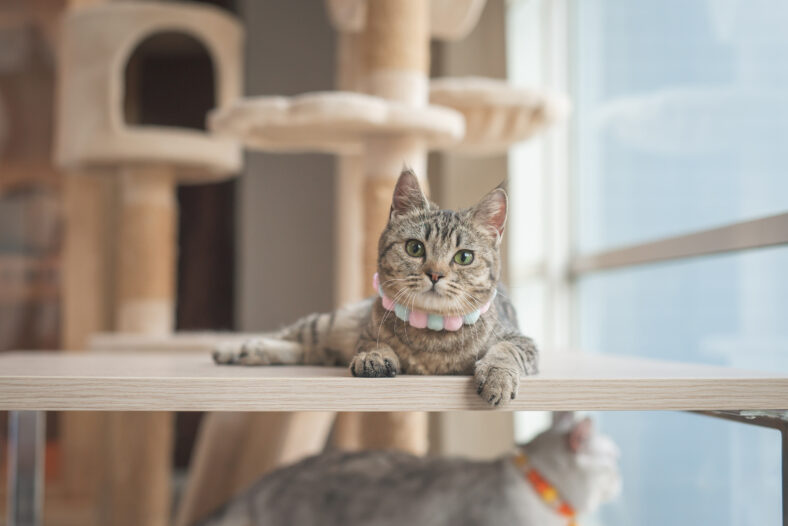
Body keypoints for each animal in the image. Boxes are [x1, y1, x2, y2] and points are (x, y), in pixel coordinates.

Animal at [212, 170, 540, 408]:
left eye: (464, 257)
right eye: (414, 248)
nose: (435, 273)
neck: (432, 335)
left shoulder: (524, 341)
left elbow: (505, 351)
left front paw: (496, 376)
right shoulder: (366, 330)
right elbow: (372, 343)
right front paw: (375, 356)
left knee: (307, 351)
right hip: (330, 323)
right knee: (294, 336)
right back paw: (237, 349)